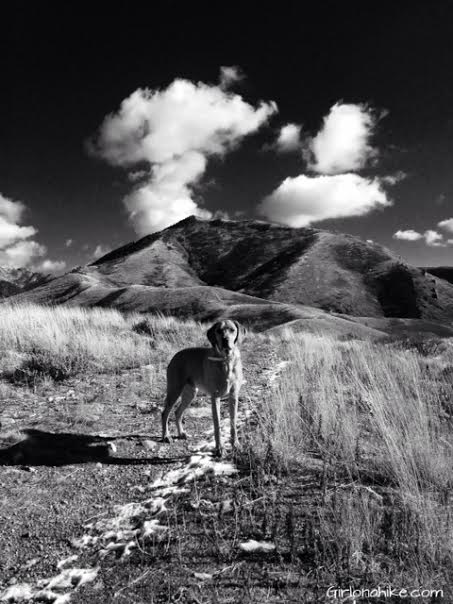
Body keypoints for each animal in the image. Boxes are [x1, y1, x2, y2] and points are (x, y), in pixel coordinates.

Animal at [160, 318, 242, 456]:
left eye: (232, 330)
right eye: (219, 331)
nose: (225, 340)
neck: (226, 361)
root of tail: (175, 356)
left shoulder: (233, 395)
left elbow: (233, 422)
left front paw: (235, 444)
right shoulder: (215, 397)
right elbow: (217, 424)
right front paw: (219, 448)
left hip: (190, 393)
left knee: (177, 412)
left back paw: (181, 433)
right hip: (174, 390)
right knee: (165, 413)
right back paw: (166, 436)